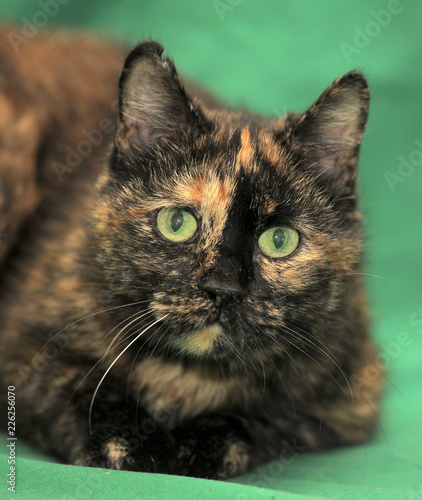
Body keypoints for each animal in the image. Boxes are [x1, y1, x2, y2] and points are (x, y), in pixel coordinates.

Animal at [0, 31, 382, 480]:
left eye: (279, 239)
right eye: (177, 222)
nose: (224, 288)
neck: (186, 375)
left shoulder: (350, 388)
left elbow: (271, 412)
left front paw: (203, 443)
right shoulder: (22, 348)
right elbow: (75, 384)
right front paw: (129, 442)